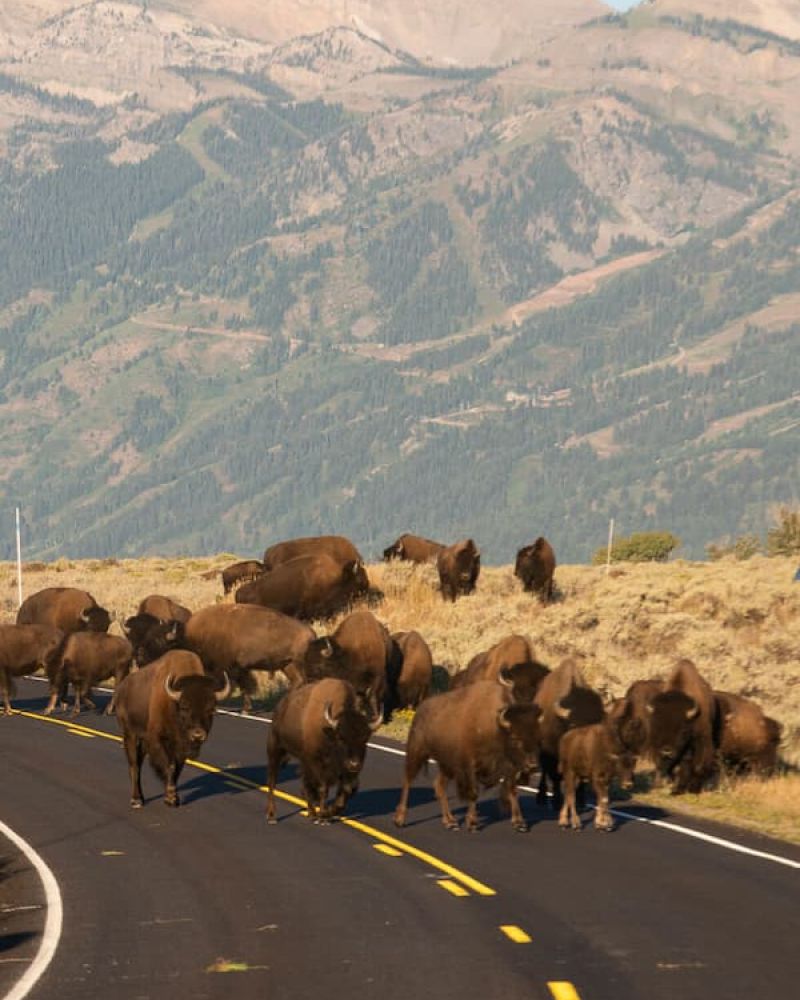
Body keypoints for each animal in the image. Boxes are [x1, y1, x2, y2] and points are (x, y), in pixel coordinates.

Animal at [115, 650, 229, 808]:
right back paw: (136, 800)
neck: (173, 704)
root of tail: (122, 688)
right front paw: (171, 797)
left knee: (139, 763)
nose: (198, 734)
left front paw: (173, 798)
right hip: (130, 735)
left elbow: (177, 769)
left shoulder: (180, 748)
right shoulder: (158, 740)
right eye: (185, 707)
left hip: (142, 741)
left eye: (211, 709)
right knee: (134, 765)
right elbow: (169, 766)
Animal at [266, 677, 380, 823]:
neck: (328, 734)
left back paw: (311, 811)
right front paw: (321, 817)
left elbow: (348, 789)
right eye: (341, 738)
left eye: (365, 739)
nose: (354, 764)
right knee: (272, 780)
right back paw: (272, 816)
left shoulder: (346, 772)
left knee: (304, 785)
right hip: (275, 749)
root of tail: (281, 706)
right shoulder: (316, 765)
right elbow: (322, 789)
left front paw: (329, 812)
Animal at [394, 681, 542, 832]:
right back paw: (399, 819)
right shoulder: (469, 766)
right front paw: (472, 823)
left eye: (537, 737)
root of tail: (420, 709)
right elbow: (473, 793)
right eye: (514, 738)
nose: (533, 765)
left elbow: (512, 791)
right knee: (408, 781)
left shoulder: (510, 769)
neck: (495, 726)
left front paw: (519, 823)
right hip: (416, 752)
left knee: (439, 786)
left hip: (447, 766)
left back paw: (450, 822)